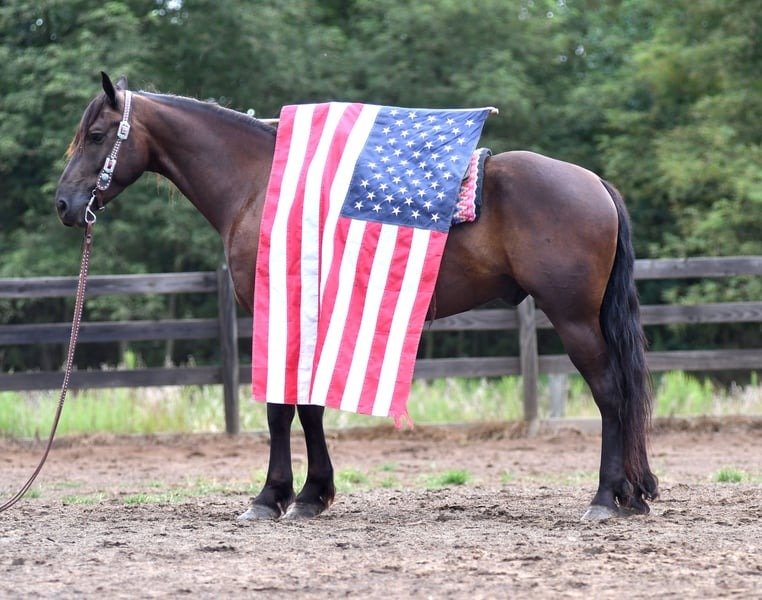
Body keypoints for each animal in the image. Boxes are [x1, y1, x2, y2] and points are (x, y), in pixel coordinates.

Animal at [55, 73, 659, 521]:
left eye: (97, 134)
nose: (64, 204)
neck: (260, 185)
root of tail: (595, 184)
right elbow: (309, 405)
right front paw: (311, 494)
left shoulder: (280, 312)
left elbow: (281, 408)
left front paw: (271, 497)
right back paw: (634, 493)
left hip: (573, 319)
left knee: (611, 393)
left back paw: (605, 499)